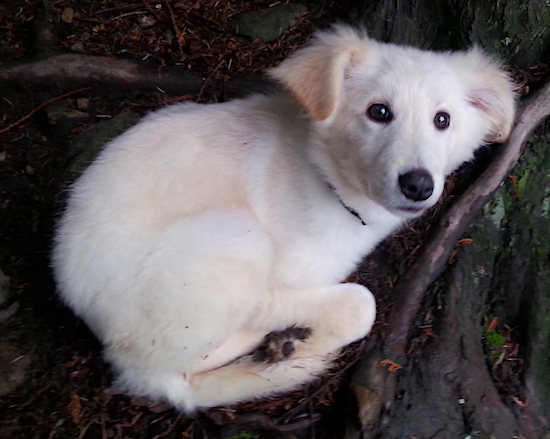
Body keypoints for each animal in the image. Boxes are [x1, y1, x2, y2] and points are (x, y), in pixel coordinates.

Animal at [52, 26, 516, 412]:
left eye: (443, 120)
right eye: (379, 112)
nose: (419, 185)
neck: (327, 177)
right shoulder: (285, 276)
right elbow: (358, 304)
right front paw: (305, 337)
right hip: (233, 236)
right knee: (183, 363)